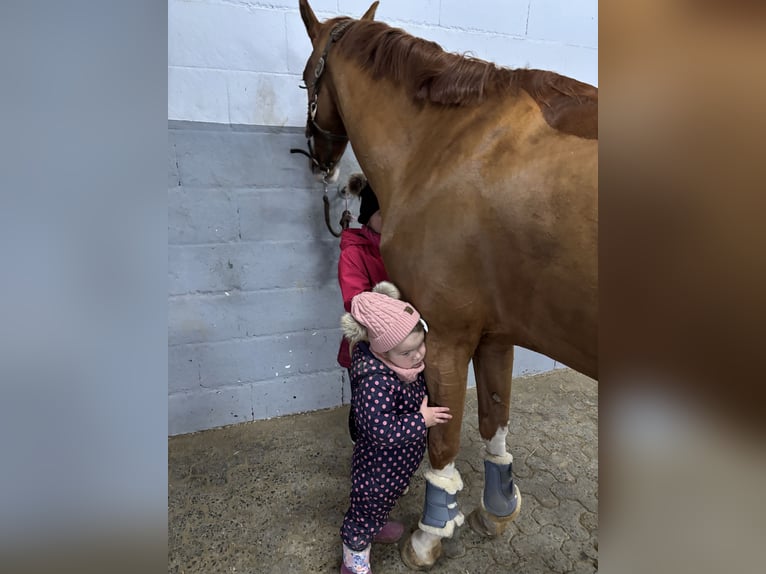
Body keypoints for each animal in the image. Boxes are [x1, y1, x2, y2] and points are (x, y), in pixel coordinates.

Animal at [296, 0, 598, 569]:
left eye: (305, 78)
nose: (320, 164)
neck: (451, 145)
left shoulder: (445, 336)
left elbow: (443, 439)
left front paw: (430, 536)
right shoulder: (496, 334)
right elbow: (494, 420)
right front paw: (498, 509)